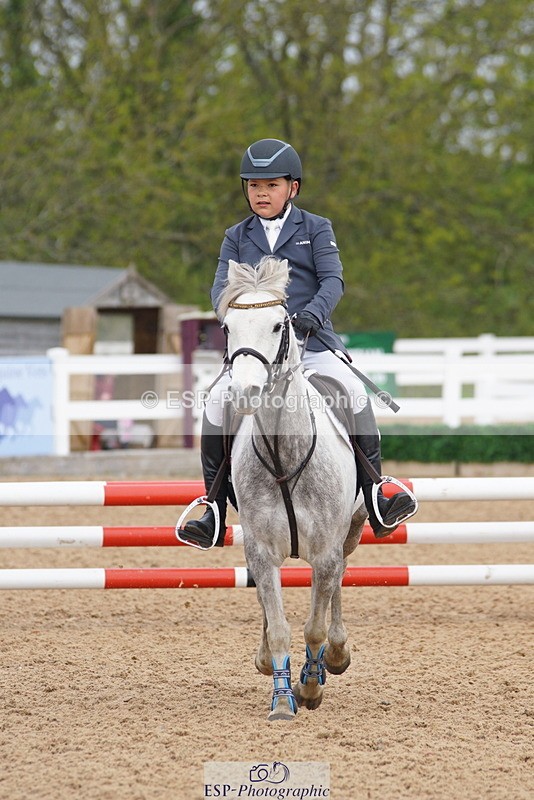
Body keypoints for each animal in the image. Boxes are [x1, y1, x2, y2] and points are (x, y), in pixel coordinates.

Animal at [219, 255, 367, 721]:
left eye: (277, 325)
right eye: (227, 326)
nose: (245, 391)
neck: (285, 454)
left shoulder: (326, 551)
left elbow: (314, 626)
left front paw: (312, 683)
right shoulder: (262, 549)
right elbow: (281, 625)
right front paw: (283, 698)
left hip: (352, 531)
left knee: (339, 583)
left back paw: (335, 656)